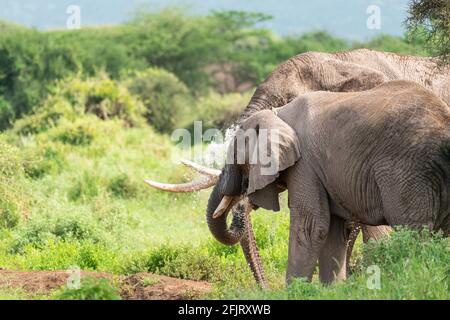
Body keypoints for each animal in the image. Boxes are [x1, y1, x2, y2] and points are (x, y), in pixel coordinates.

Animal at [207, 81, 450, 284]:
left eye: (235, 156)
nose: (239, 211)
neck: (277, 114)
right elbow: (332, 231)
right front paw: (332, 289)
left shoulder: (305, 165)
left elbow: (310, 226)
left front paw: (296, 291)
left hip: (407, 170)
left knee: (413, 230)